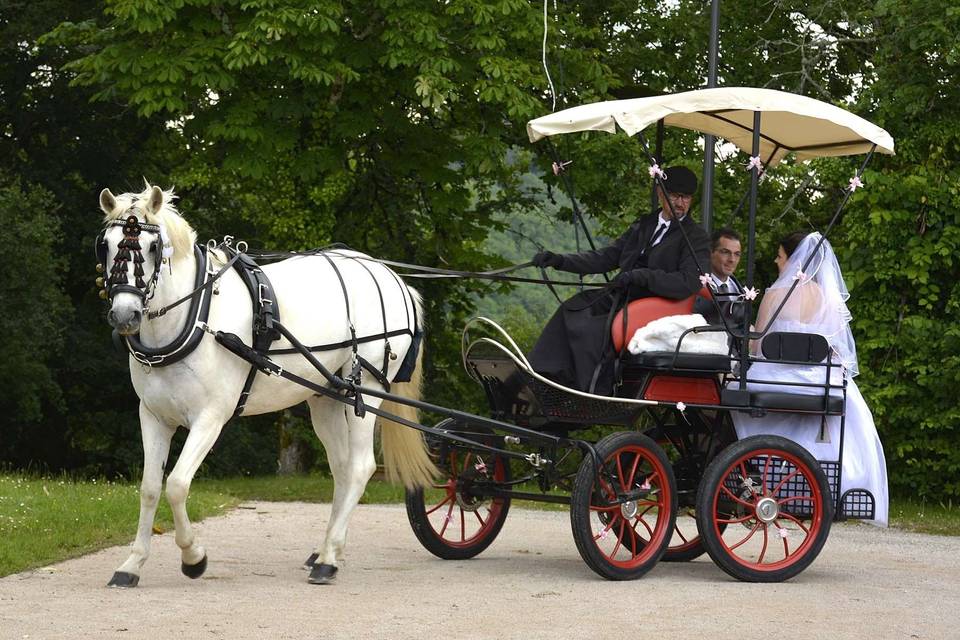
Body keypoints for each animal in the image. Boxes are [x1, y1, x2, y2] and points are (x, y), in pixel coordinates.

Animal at [96, 182, 436, 588]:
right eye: (106, 244)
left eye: (151, 247)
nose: (124, 315)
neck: (196, 316)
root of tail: (391, 277)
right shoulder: (153, 416)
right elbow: (149, 489)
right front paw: (132, 564)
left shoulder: (211, 418)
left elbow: (176, 485)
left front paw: (194, 558)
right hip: (326, 395)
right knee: (340, 467)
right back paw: (325, 549)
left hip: (366, 388)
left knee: (359, 467)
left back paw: (328, 560)